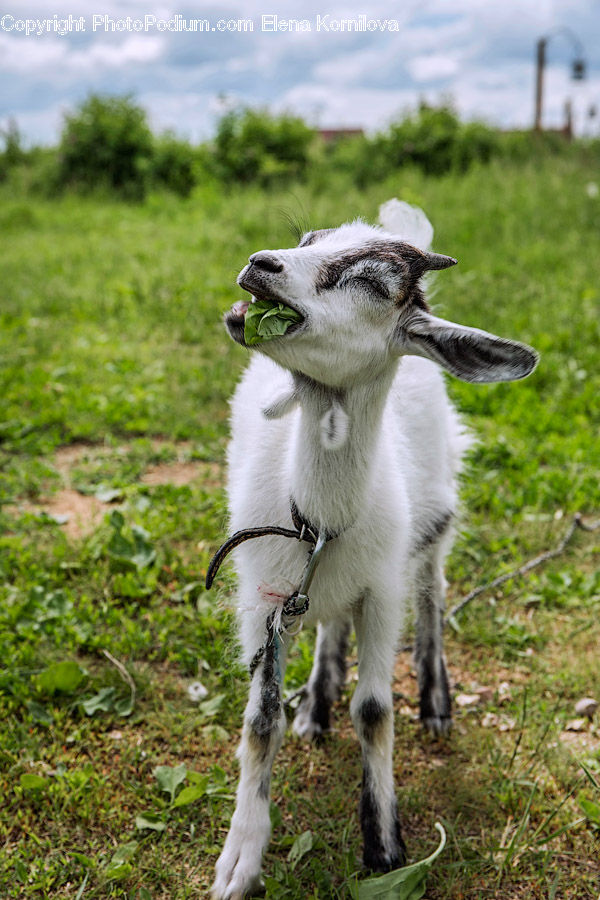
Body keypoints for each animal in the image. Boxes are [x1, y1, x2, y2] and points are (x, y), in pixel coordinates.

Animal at [209, 200, 538, 899]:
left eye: (369, 281)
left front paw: (385, 844)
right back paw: (318, 700)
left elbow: (376, 711)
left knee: (434, 591)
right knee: (331, 620)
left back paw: (435, 702)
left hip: (435, 510)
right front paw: (240, 857)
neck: (319, 522)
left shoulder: (383, 592)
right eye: (307, 239)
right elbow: (260, 719)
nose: (261, 263)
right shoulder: (265, 597)